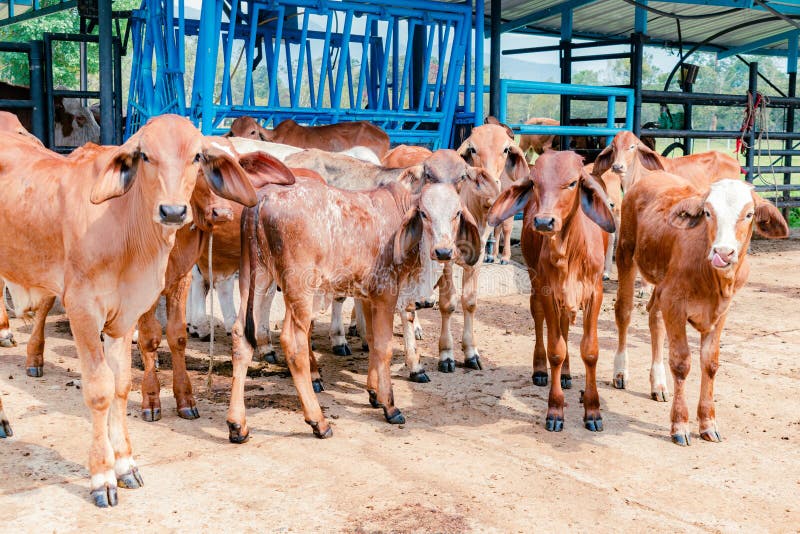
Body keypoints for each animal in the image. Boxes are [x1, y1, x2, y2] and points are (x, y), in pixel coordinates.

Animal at [0, 115, 292, 507]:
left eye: (197, 157)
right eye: (146, 156)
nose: (173, 211)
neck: (124, 226)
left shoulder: (125, 315)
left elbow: (122, 384)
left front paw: (125, 465)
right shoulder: (83, 311)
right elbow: (101, 389)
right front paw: (102, 476)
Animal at [224, 150, 488, 442]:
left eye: (456, 213)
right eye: (424, 213)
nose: (443, 251)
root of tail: (265, 197)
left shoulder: (368, 296)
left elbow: (371, 340)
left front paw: (374, 393)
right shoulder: (386, 293)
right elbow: (383, 347)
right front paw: (389, 405)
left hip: (255, 278)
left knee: (241, 336)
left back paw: (237, 424)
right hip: (299, 290)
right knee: (294, 344)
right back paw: (318, 420)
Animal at [487, 151, 615, 431]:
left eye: (572, 183)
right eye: (535, 183)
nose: (544, 221)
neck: (569, 251)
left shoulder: (595, 293)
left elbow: (590, 351)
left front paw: (593, 411)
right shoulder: (548, 291)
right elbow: (556, 349)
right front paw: (555, 410)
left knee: (565, 326)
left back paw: (566, 374)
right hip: (536, 284)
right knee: (539, 321)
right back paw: (540, 370)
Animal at [613, 175, 787, 445]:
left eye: (749, 214)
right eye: (707, 212)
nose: (723, 252)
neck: (713, 279)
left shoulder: (720, 311)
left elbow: (710, 363)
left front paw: (707, 422)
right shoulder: (674, 303)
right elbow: (681, 363)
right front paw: (680, 424)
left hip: (661, 283)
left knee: (654, 316)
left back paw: (658, 384)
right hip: (625, 251)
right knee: (624, 310)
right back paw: (621, 371)